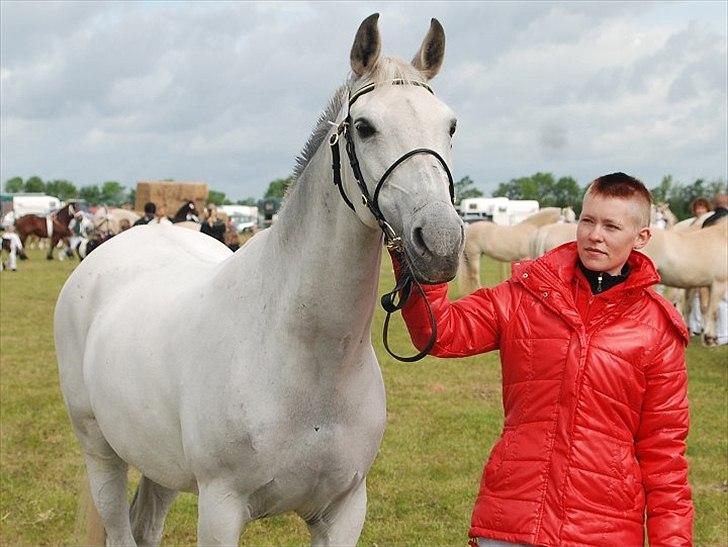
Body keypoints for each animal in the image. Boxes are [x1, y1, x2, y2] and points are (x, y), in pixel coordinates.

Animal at [54, 13, 464, 547]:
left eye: (450, 125)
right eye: (365, 127)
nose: (440, 240)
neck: (308, 360)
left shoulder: (344, 509)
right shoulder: (221, 508)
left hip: (159, 462)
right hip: (101, 452)